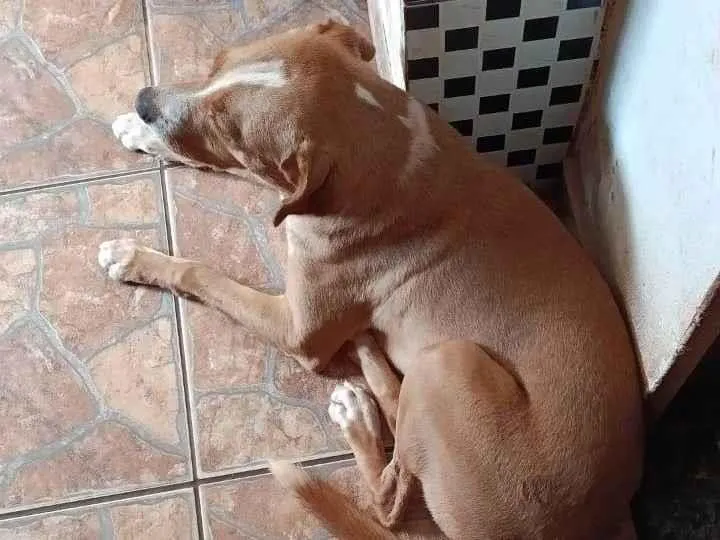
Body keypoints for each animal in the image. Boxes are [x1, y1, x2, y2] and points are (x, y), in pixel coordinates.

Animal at [99, 20, 644, 539]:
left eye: (229, 131)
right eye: (215, 65)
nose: (143, 101)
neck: (391, 152)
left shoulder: (300, 332)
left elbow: (202, 270)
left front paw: (132, 257)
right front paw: (137, 131)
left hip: (449, 363)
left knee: (391, 503)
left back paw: (360, 416)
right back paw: (369, 358)